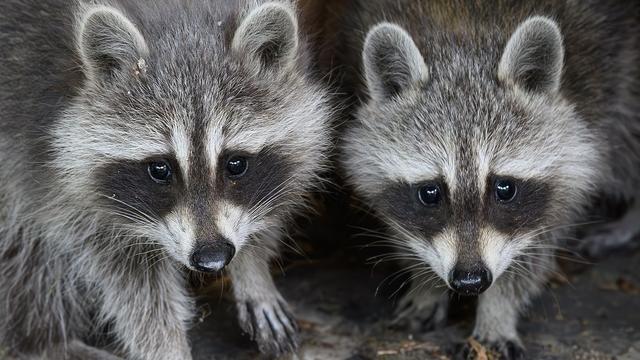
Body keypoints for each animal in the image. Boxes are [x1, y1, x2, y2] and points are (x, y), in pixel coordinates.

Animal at [0, 0, 330, 358]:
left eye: (235, 164)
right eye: (160, 169)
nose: (212, 259)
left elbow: (277, 195)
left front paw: (253, 269)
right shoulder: (57, 174)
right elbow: (132, 282)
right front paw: (166, 345)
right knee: (26, 251)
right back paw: (41, 342)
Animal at [336, 0, 640, 358]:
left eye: (504, 188)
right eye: (430, 192)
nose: (470, 281)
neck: (465, 40)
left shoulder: (584, 126)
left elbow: (535, 245)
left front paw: (497, 310)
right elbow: (405, 227)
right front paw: (425, 283)